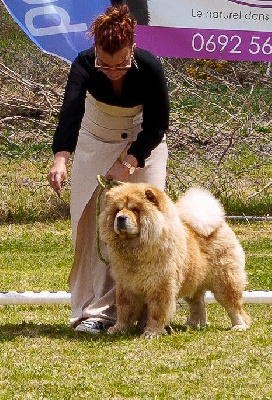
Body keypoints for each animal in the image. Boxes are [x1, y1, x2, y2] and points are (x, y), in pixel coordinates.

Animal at [99, 184, 250, 338]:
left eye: (135, 209)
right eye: (117, 210)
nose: (120, 218)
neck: (135, 249)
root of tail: (220, 224)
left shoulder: (161, 285)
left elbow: (156, 312)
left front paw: (152, 332)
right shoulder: (125, 286)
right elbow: (124, 310)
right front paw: (118, 328)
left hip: (225, 282)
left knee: (234, 306)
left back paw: (239, 326)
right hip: (193, 280)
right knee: (198, 303)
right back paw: (194, 325)